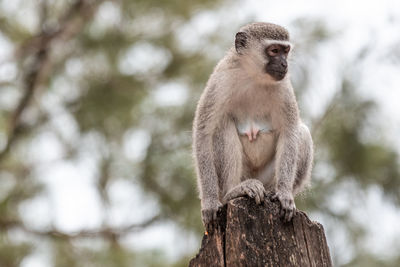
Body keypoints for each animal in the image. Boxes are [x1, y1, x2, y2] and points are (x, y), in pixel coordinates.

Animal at [192, 22, 314, 231]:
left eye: (286, 51)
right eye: (274, 51)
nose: (284, 64)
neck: (253, 76)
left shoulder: (284, 87)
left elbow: (290, 132)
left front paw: (284, 193)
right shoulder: (220, 79)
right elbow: (203, 133)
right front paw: (209, 202)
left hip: (266, 178)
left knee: (302, 133)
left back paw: (273, 192)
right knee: (221, 126)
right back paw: (233, 192)